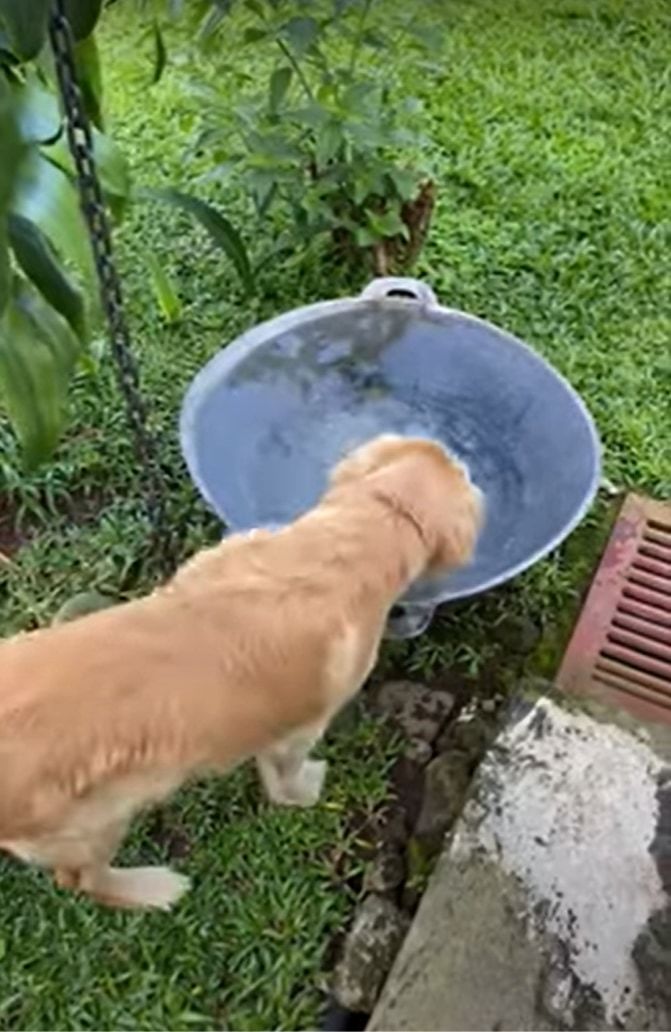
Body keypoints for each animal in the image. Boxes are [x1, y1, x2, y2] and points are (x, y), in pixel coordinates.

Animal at [0, 435, 481, 912]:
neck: (371, 521)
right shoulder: (303, 722)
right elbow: (285, 771)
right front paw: (304, 791)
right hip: (94, 820)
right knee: (81, 878)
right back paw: (156, 889)